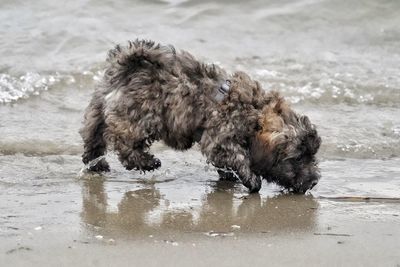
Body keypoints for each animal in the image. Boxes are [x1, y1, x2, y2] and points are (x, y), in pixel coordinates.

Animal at [79, 39, 322, 194]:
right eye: (297, 158)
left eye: (312, 155)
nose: (313, 183)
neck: (254, 112)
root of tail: (128, 67)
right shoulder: (220, 139)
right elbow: (239, 158)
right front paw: (252, 181)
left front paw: (229, 178)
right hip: (140, 117)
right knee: (124, 143)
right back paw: (147, 162)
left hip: (97, 108)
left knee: (93, 135)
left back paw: (97, 164)